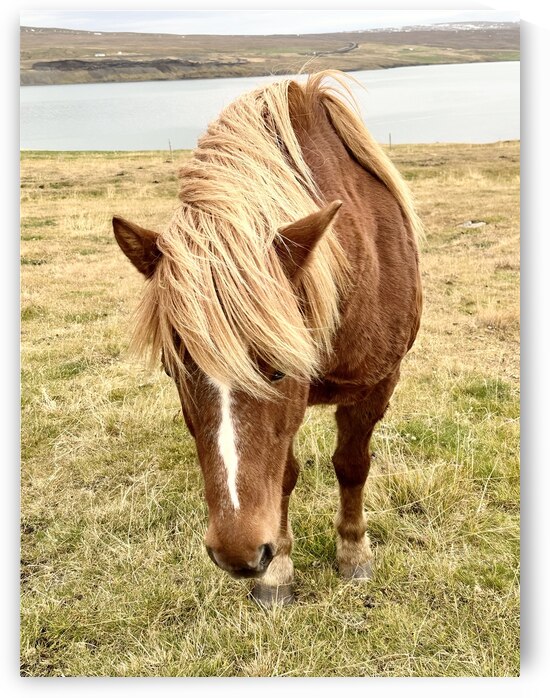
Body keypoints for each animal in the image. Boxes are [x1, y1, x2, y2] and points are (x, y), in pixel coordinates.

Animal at [112, 71, 422, 607]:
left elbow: (352, 464)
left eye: (278, 369)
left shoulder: (377, 385)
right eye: (173, 369)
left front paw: (353, 553)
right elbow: (284, 476)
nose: (237, 555)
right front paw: (278, 572)